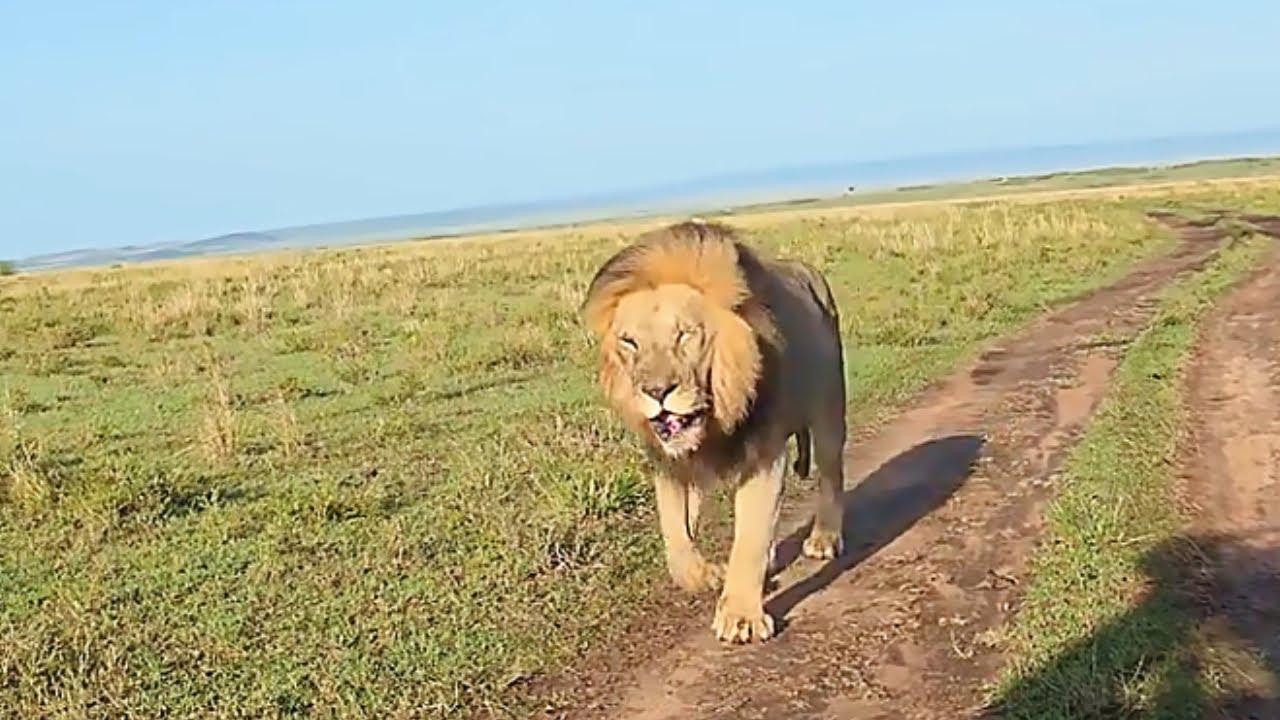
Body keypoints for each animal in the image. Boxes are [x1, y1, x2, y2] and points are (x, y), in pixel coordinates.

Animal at [580, 219, 847, 644]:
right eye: (629, 342)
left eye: (684, 334)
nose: (656, 392)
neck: (714, 421)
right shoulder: (670, 463)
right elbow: (675, 535)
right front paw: (705, 575)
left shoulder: (765, 454)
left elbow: (750, 536)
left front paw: (741, 617)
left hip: (829, 410)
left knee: (832, 476)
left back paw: (824, 538)